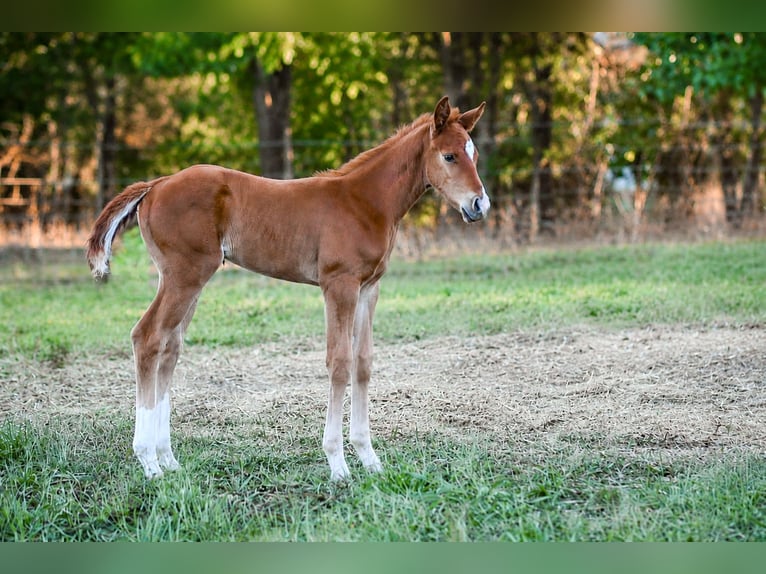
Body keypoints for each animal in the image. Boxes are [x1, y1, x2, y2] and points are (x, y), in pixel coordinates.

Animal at [86, 96, 490, 480]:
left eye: (474, 155)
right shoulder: (339, 285)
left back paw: (168, 459)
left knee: (170, 348)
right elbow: (339, 363)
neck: (365, 201)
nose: (479, 205)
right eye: (449, 155)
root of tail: (156, 184)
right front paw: (338, 464)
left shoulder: (368, 289)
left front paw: (369, 458)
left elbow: (363, 363)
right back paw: (149, 462)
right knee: (147, 338)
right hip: (184, 276)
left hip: (185, 279)